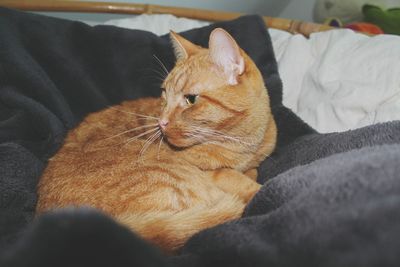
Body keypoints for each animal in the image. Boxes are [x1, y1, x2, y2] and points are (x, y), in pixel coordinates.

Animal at [36, 28, 276, 254]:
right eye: (164, 94)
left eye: (191, 99)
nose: (161, 122)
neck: (243, 144)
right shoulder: (214, 174)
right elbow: (242, 181)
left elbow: (252, 171)